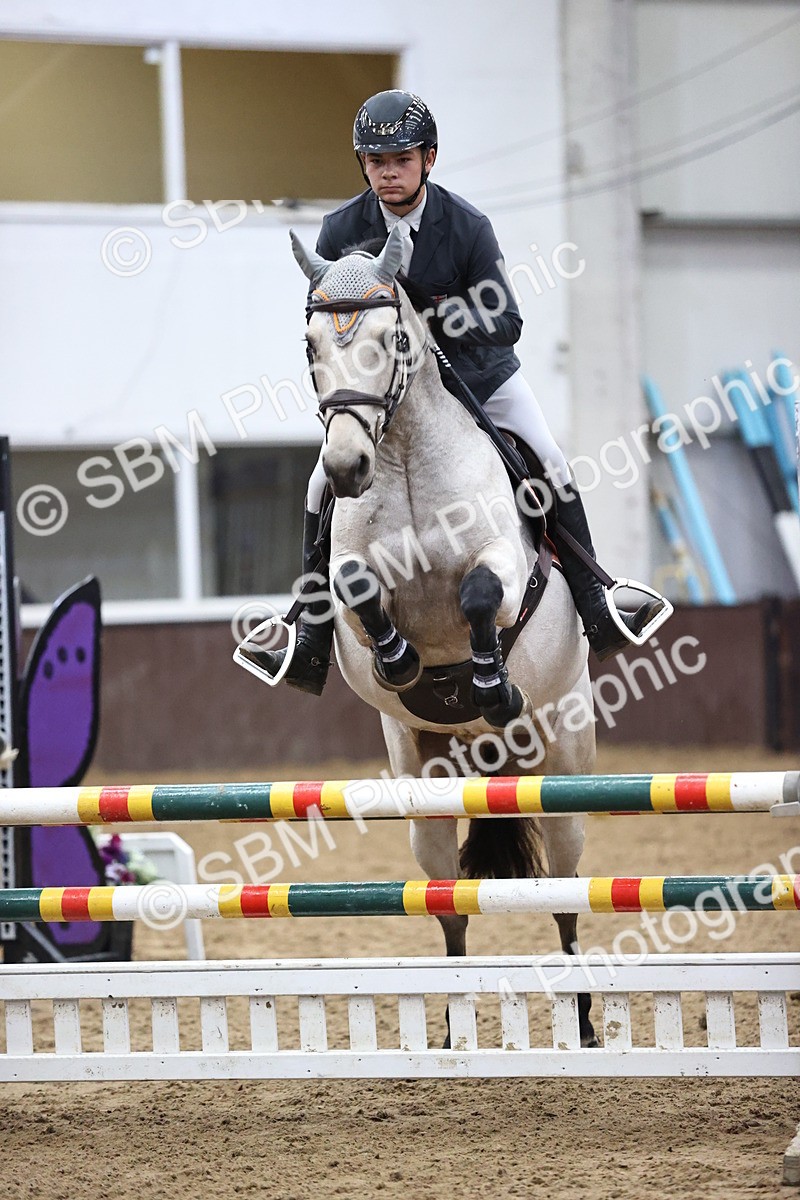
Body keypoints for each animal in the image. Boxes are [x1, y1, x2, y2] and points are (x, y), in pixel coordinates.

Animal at [292, 224, 598, 1046]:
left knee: (565, 893)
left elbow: (482, 592)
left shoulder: (500, 560)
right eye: (310, 345)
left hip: (565, 766)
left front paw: (488, 681)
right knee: (447, 901)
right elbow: (359, 591)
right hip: (424, 787)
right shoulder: (352, 574)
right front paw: (401, 663)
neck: (399, 459)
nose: (345, 466)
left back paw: (584, 1025)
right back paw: (456, 1022)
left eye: (394, 338)